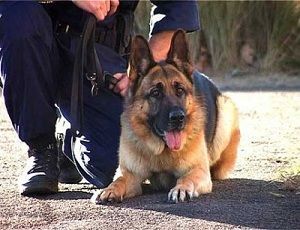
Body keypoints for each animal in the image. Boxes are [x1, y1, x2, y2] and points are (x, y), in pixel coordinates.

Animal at [92, 29, 241, 203]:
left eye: (180, 90)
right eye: (156, 93)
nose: (178, 118)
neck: (162, 151)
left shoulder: (199, 171)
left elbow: (186, 178)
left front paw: (181, 189)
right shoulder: (130, 174)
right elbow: (119, 180)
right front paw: (109, 189)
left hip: (225, 115)